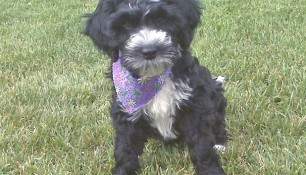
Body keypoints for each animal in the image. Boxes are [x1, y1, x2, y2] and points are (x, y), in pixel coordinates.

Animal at [83, 0, 227, 174]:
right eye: (126, 25)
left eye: (162, 19)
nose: (149, 51)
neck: (152, 77)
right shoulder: (125, 111)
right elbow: (125, 149)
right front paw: (123, 170)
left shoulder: (195, 105)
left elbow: (202, 146)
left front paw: (211, 170)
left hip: (213, 92)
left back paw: (219, 143)